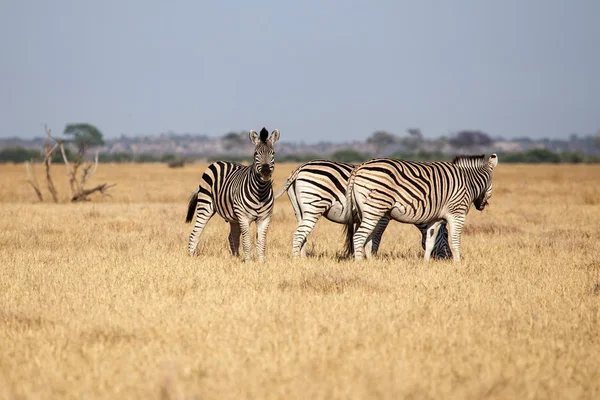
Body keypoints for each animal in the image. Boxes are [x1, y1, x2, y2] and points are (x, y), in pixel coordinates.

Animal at [186, 126, 280, 260]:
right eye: (255, 154)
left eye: (273, 153)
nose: (266, 172)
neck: (260, 192)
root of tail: (218, 162)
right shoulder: (244, 217)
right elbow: (247, 241)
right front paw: (248, 261)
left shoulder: (265, 218)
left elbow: (261, 243)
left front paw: (261, 262)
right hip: (206, 206)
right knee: (195, 233)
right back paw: (191, 256)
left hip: (233, 217)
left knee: (232, 237)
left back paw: (235, 257)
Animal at [274, 159, 452, 260]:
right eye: (446, 234)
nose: (449, 258)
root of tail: (300, 168)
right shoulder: (383, 216)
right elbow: (376, 236)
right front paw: (372, 257)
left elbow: (365, 236)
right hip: (314, 204)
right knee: (300, 233)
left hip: (300, 210)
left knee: (303, 234)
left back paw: (303, 259)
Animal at [344, 154, 500, 262]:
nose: (482, 206)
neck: (468, 181)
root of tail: (359, 167)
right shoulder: (457, 213)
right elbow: (456, 240)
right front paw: (458, 263)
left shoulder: (435, 218)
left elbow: (430, 241)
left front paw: (426, 263)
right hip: (375, 207)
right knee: (359, 236)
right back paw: (360, 264)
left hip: (365, 211)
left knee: (367, 239)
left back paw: (371, 263)